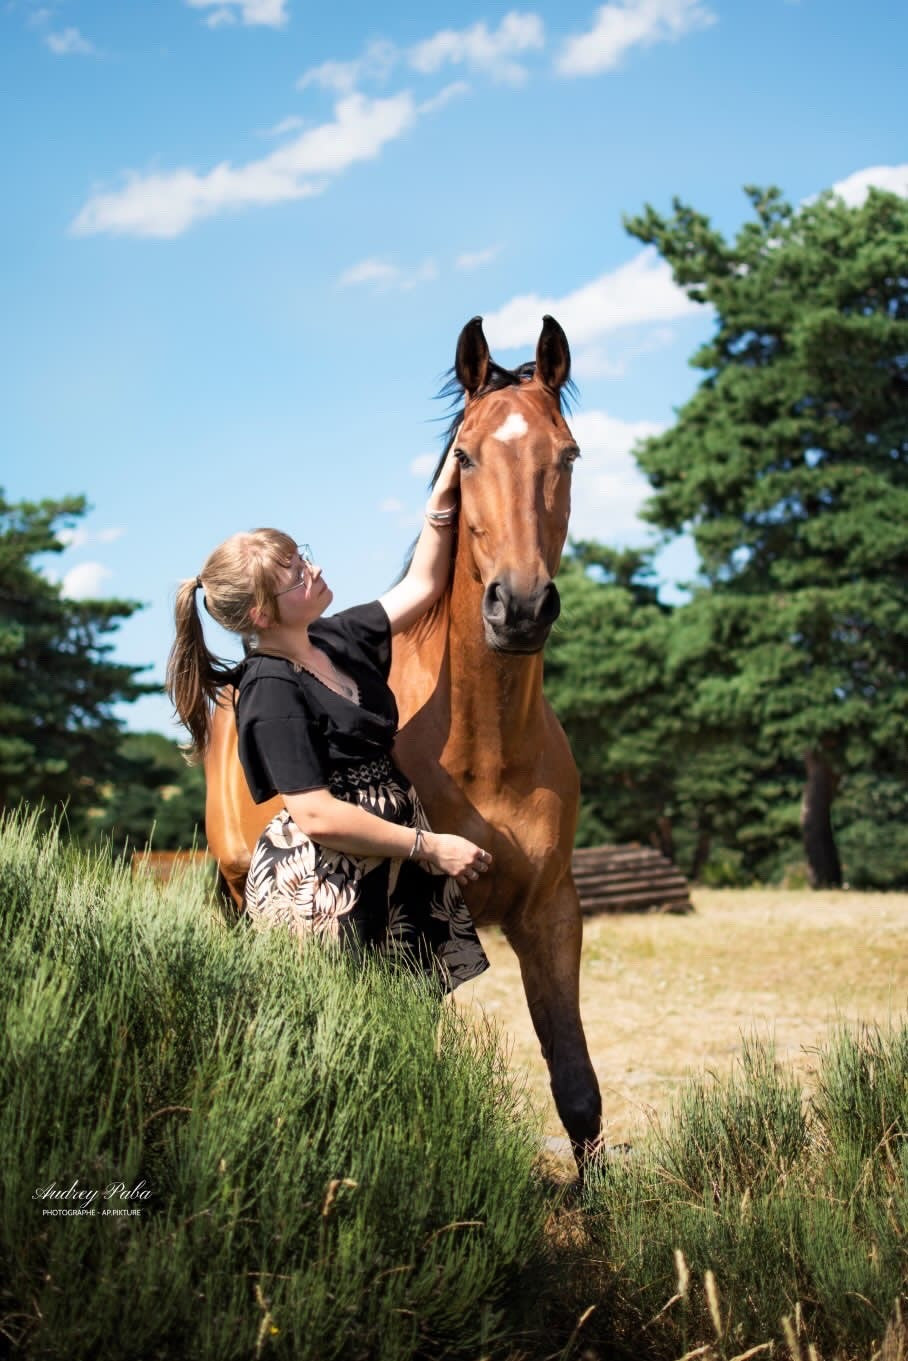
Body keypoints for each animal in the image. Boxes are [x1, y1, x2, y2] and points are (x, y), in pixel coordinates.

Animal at [205, 313, 604, 1165]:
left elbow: (578, 1093)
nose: (521, 606)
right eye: (466, 454)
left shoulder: (551, 913)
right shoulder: (414, 941)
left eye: (569, 454)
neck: (485, 750)